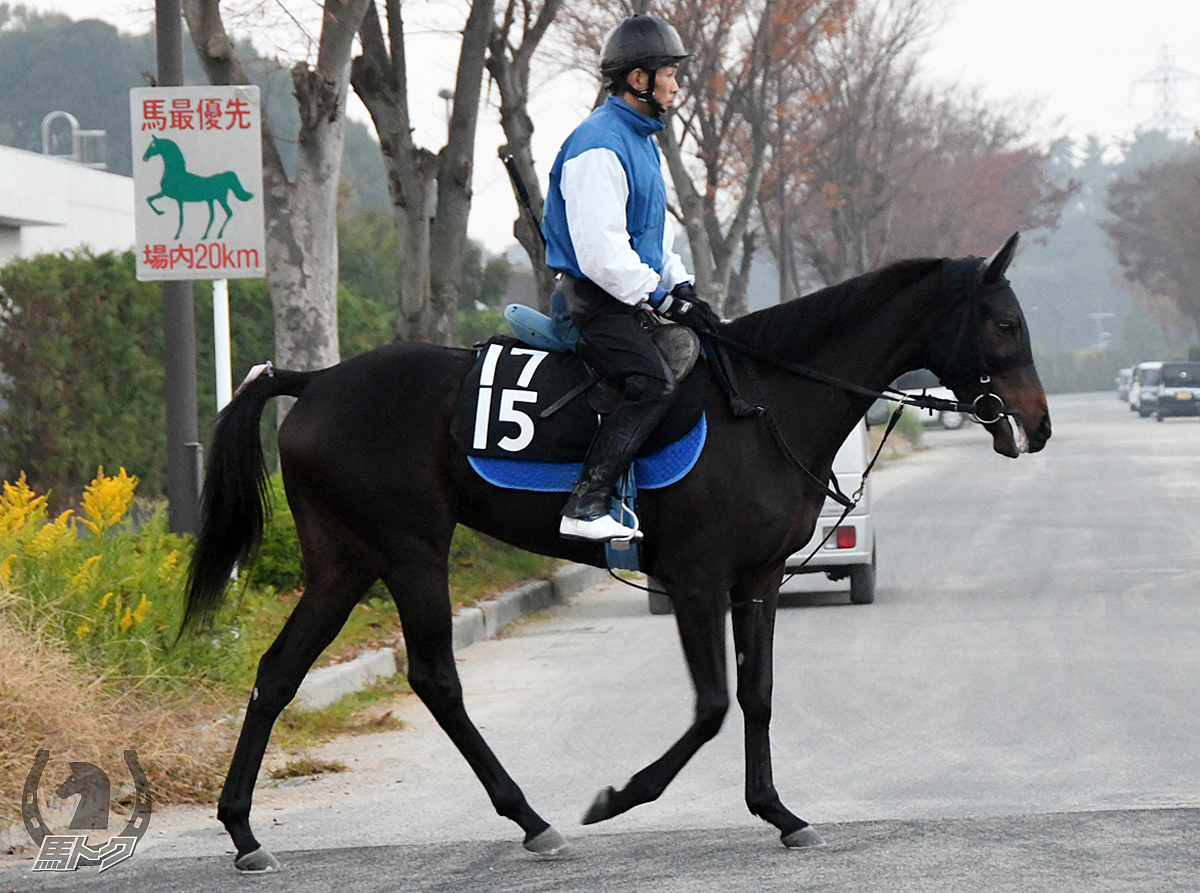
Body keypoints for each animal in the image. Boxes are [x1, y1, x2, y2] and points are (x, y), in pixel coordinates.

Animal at [182, 231, 1046, 873]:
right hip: (410, 551)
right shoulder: (697, 579)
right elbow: (712, 704)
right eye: (1005, 324)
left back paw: (244, 829)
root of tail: (316, 379)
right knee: (435, 679)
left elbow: (758, 694)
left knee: (279, 672)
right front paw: (620, 796)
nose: (1036, 425)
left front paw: (778, 810)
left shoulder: (758, 580)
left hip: (344, 563)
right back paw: (531, 817)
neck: (762, 401)